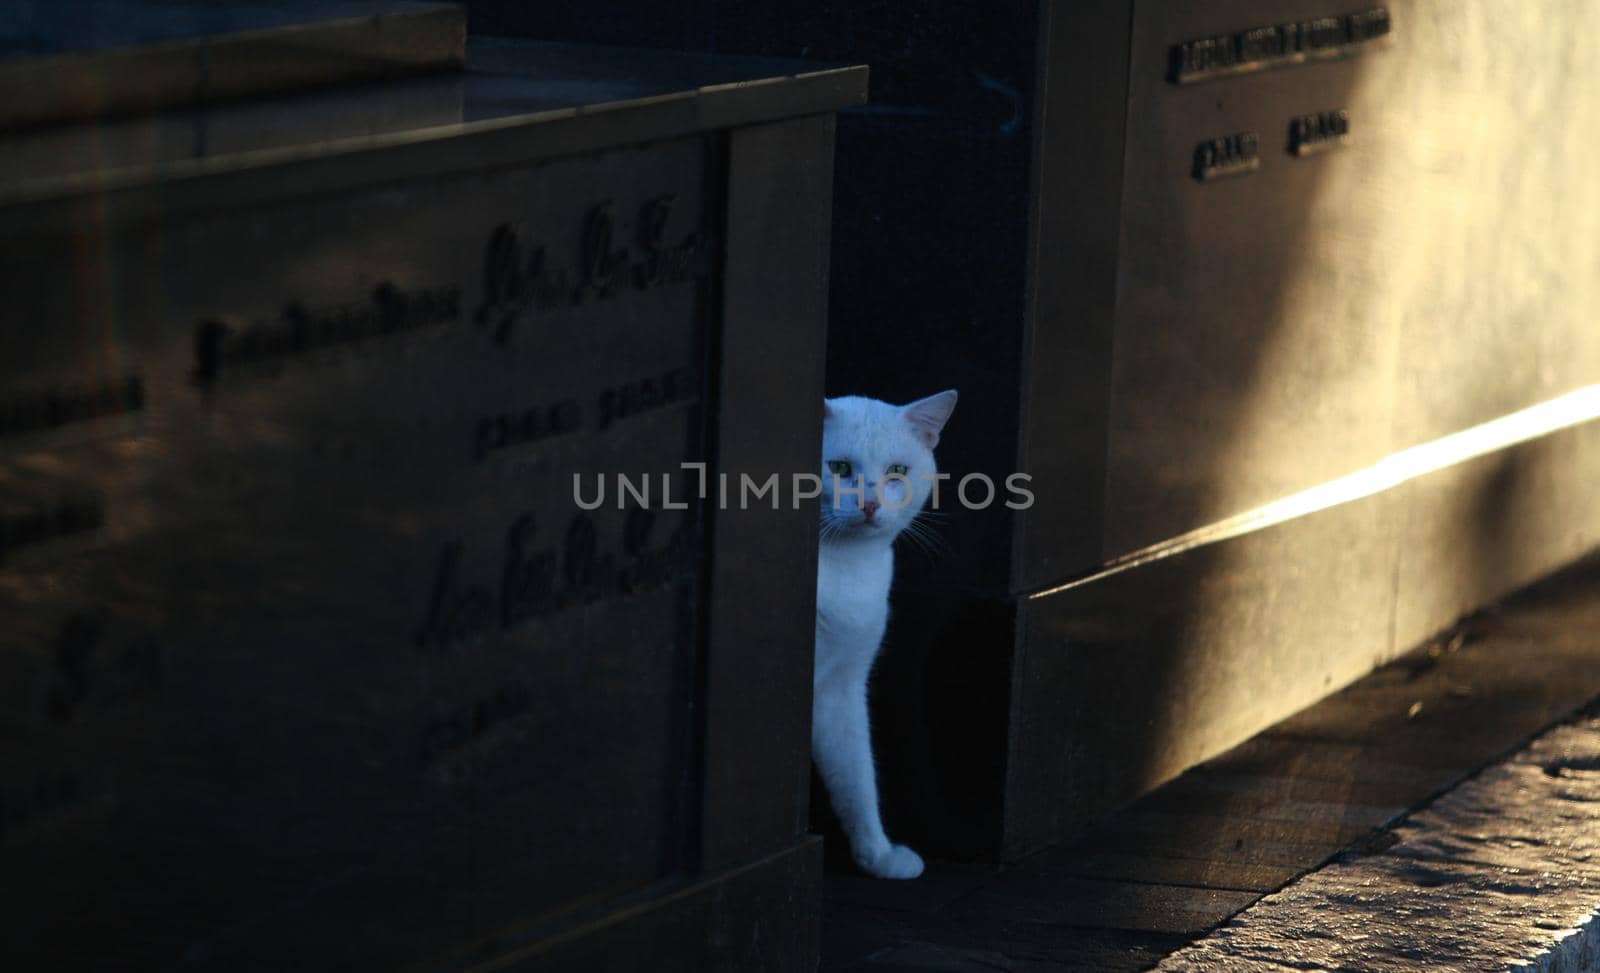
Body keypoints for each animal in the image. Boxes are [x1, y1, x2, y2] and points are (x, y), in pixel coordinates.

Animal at [819, 388, 953, 883]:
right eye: (838, 468)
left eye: (897, 471)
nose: (871, 505)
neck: (845, 568)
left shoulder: (841, 690)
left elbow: (857, 775)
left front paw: (876, 855)